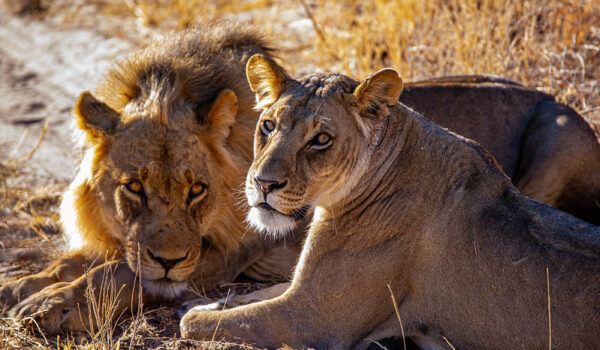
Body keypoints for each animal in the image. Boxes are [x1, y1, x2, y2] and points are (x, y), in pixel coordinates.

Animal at [0, 23, 300, 334]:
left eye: (197, 189)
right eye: (134, 186)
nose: (169, 261)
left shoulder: (229, 253)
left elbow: (112, 274)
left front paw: (49, 304)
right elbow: (66, 264)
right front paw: (17, 288)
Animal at [180, 54, 600, 350]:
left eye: (321, 140)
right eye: (268, 125)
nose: (263, 183)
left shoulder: (311, 318)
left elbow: (196, 323)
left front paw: (199, 310)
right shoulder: (301, 289)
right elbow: (250, 297)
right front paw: (215, 303)